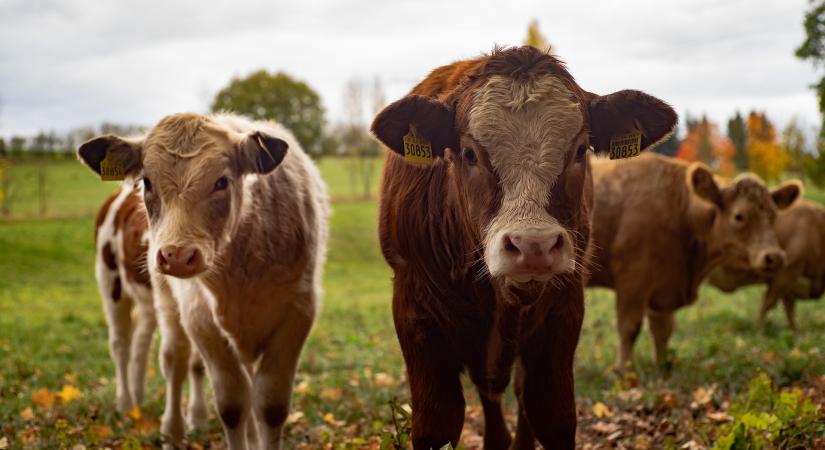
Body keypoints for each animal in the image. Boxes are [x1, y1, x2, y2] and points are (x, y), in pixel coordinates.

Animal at [92, 182, 208, 436]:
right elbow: (175, 356)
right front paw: (173, 429)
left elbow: (198, 362)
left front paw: (198, 418)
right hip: (111, 280)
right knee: (120, 344)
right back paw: (125, 403)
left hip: (147, 301)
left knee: (140, 342)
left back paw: (137, 399)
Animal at [372, 46, 676, 450]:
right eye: (469, 153)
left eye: (580, 150)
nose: (533, 245)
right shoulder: (414, 313)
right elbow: (437, 424)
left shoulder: (562, 313)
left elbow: (551, 415)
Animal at [584, 153, 800, 370]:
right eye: (739, 216)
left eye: (773, 216)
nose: (775, 256)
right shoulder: (632, 280)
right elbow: (629, 328)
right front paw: (624, 371)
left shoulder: (663, 289)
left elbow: (662, 332)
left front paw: (662, 368)